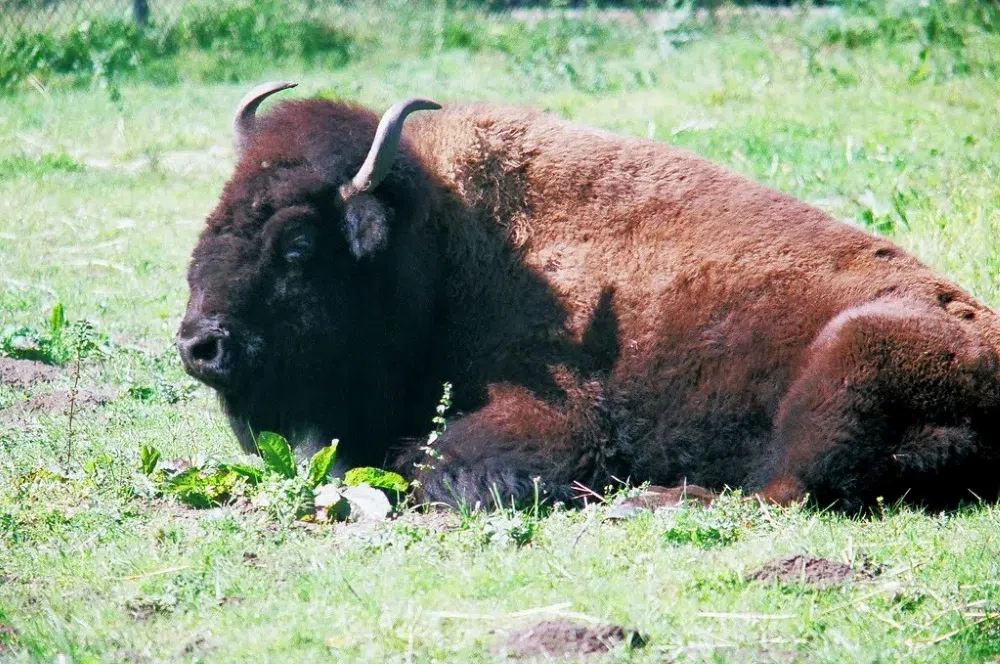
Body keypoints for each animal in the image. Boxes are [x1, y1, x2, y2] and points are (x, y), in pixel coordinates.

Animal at [178, 81, 1000, 512]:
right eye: (214, 217)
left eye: (297, 244)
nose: (199, 345)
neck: (443, 242)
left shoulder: (553, 417)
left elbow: (432, 460)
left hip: (847, 362)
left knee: (780, 489)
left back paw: (643, 498)